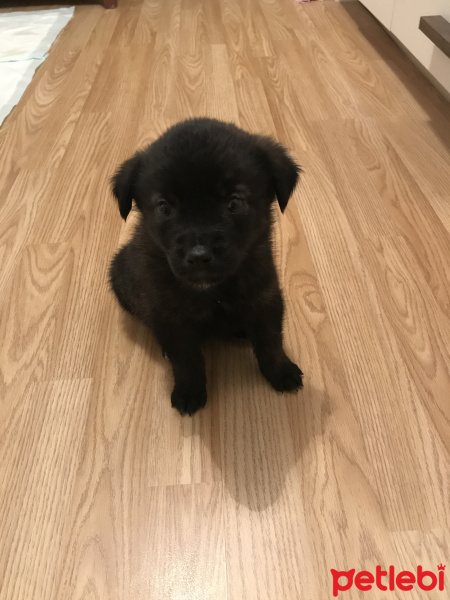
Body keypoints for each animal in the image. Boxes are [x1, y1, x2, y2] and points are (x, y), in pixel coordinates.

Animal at [110, 119, 302, 414]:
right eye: (163, 207)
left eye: (234, 203)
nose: (199, 256)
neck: (213, 291)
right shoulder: (170, 315)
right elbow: (186, 359)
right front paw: (189, 391)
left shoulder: (265, 297)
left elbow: (271, 342)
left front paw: (281, 371)